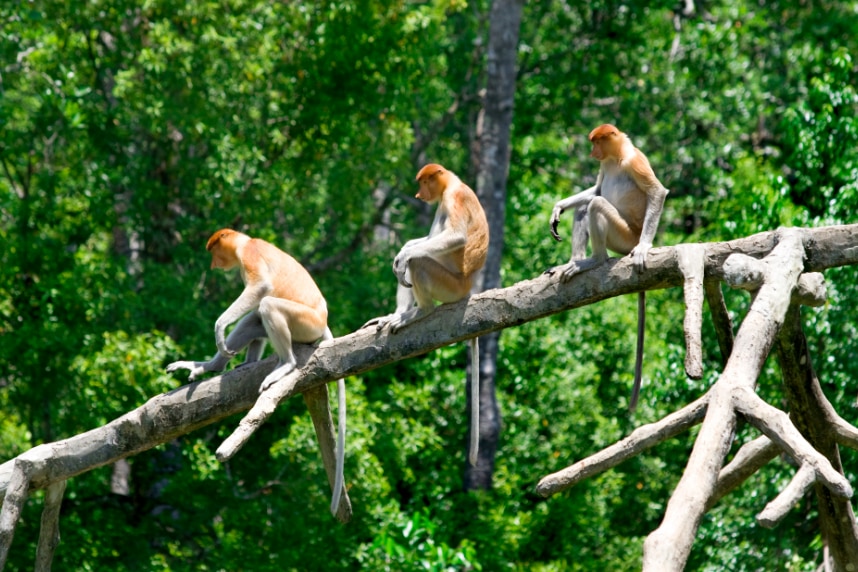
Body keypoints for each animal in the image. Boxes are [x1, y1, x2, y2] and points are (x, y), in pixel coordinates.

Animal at [167, 230, 344, 516]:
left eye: (214, 251)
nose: (214, 265)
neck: (246, 242)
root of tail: (323, 323)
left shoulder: (250, 255)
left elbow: (260, 288)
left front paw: (219, 327)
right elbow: (254, 308)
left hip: (305, 323)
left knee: (268, 305)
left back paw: (285, 365)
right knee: (254, 318)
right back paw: (209, 366)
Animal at [362, 164, 488, 464]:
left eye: (423, 182)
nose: (419, 194)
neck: (452, 183)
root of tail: (468, 288)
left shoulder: (452, 199)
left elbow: (454, 237)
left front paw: (404, 254)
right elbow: (424, 241)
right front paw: (404, 247)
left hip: (449, 284)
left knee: (418, 262)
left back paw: (419, 311)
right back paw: (396, 314)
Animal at [548, 124, 668, 412]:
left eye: (596, 142)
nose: (593, 153)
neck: (616, 158)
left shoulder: (636, 161)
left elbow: (657, 192)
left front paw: (645, 248)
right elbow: (597, 188)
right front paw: (558, 207)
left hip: (625, 236)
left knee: (597, 205)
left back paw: (596, 260)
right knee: (585, 205)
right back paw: (573, 262)